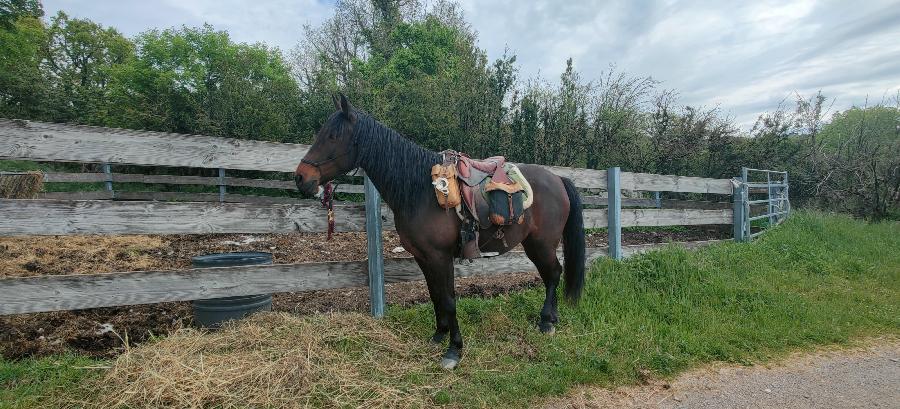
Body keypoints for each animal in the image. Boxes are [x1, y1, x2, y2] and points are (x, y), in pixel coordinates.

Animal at [295, 94, 585, 370]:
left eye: (333, 136)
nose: (300, 178)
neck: (421, 191)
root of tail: (558, 179)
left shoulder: (440, 257)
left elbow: (448, 299)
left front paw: (454, 350)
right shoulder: (423, 257)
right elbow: (435, 295)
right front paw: (438, 335)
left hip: (541, 243)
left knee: (553, 274)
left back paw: (546, 322)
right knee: (551, 274)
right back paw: (552, 318)